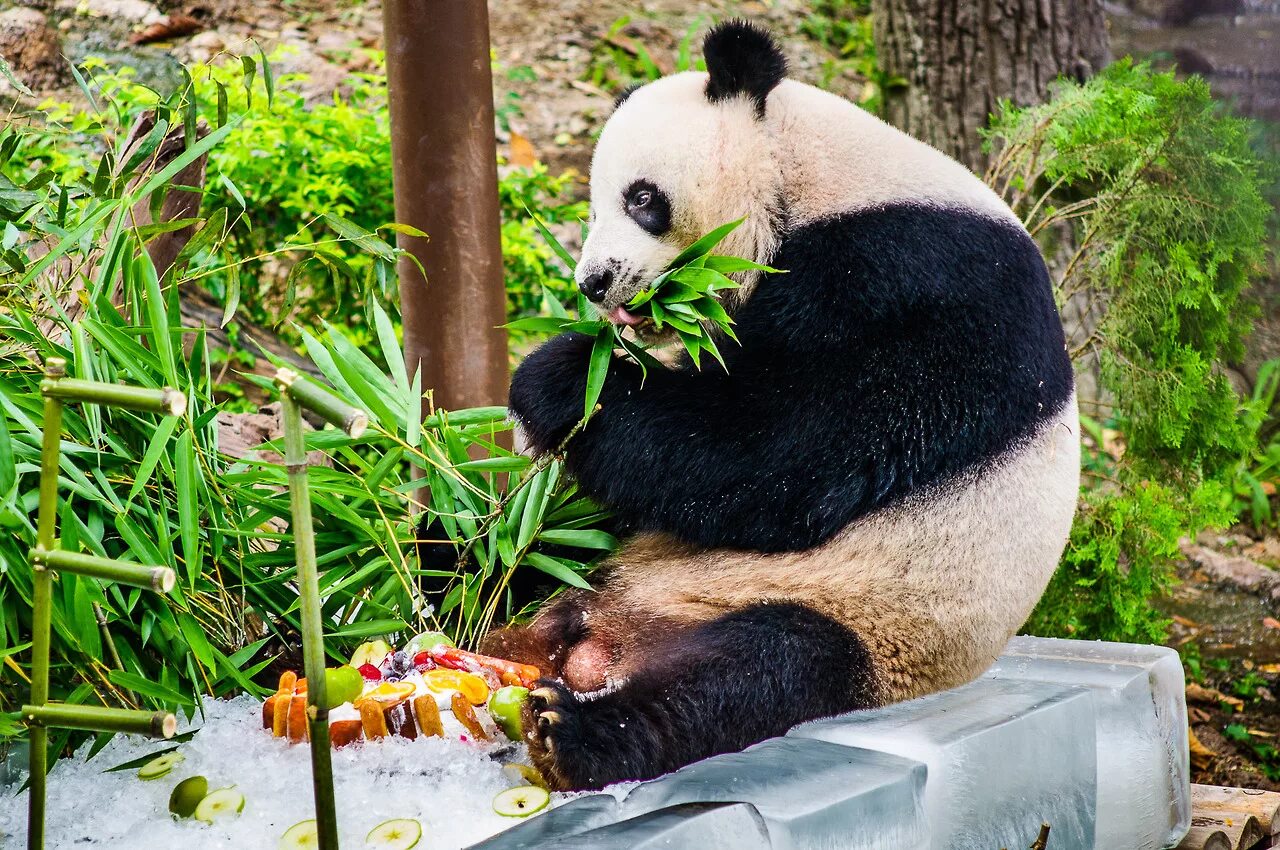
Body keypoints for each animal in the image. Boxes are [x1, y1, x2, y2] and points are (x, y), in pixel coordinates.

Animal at [483, 18, 1075, 788]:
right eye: (592, 206)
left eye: (642, 198)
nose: (594, 282)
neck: (809, 173)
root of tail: (600, 630)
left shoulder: (919, 282)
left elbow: (785, 456)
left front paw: (557, 380)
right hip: (594, 561)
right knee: (505, 554)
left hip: (864, 620)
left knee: (751, 674)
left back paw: (573, 732)